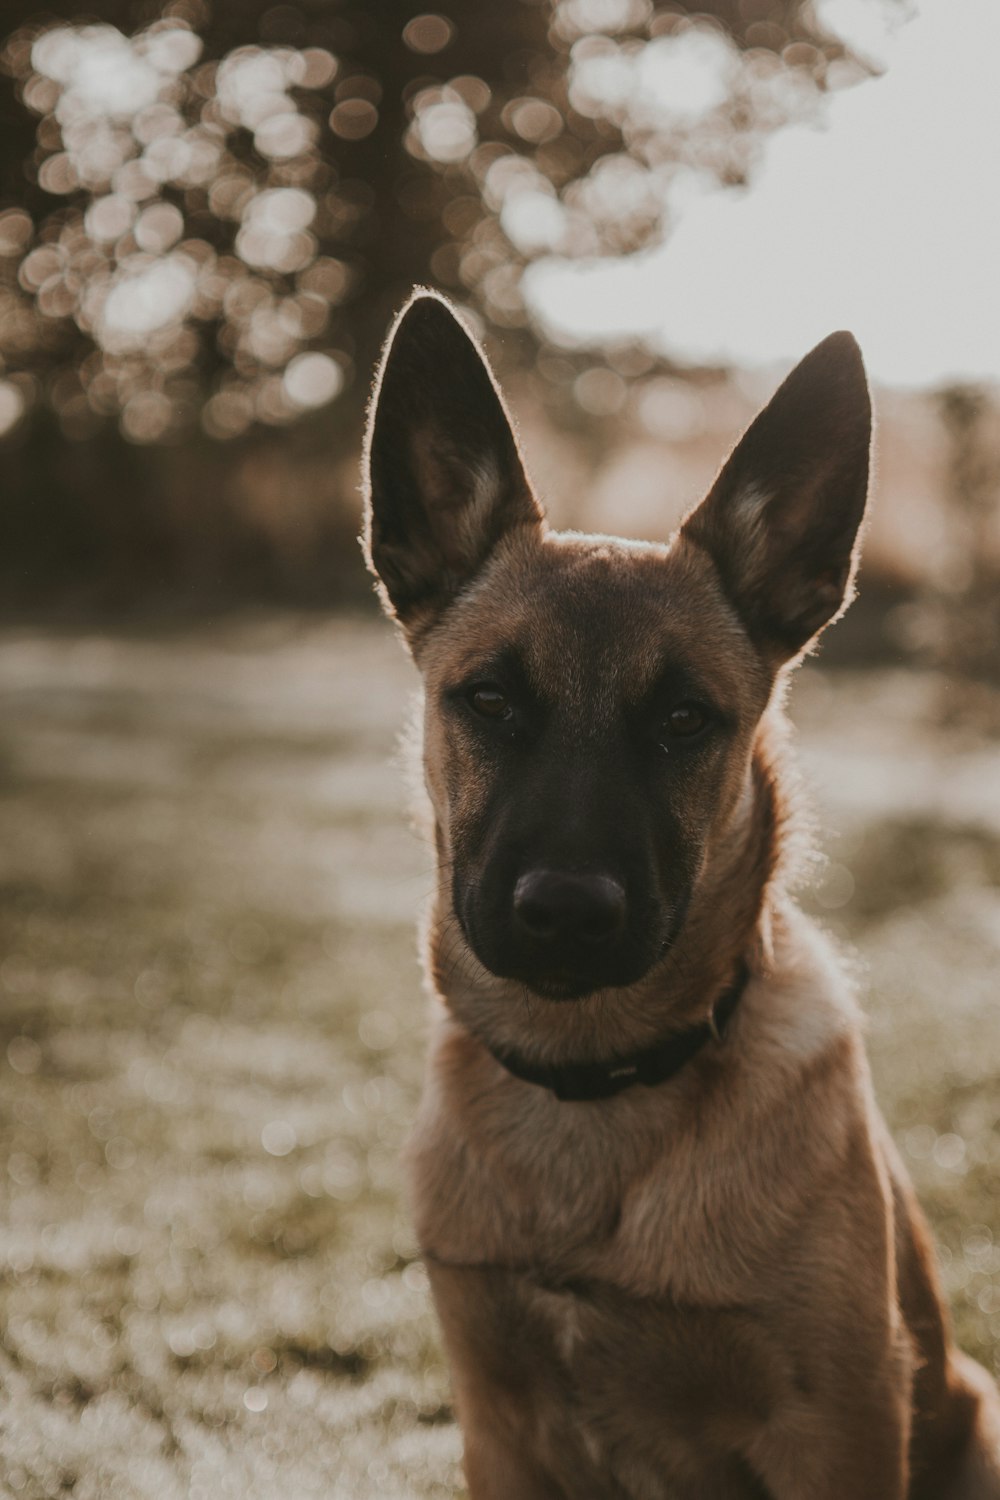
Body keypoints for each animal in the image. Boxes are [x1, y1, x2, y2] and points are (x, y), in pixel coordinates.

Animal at [364, 286, 1000, 1494]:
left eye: (682, 719)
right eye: (489, 699)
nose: (566, 913)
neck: (593, 1090)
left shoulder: (841, 1425)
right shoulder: (499, 1427)